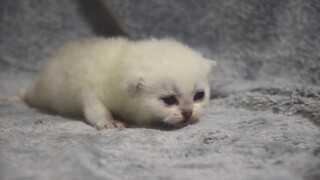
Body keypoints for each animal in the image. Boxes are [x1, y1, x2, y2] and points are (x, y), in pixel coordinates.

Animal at [24, 37, 215, 129]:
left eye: (199, 96)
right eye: (169, 100)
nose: (188, 113)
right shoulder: (92, 92)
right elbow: (97, 109)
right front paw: (109, 123)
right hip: (43, 92)